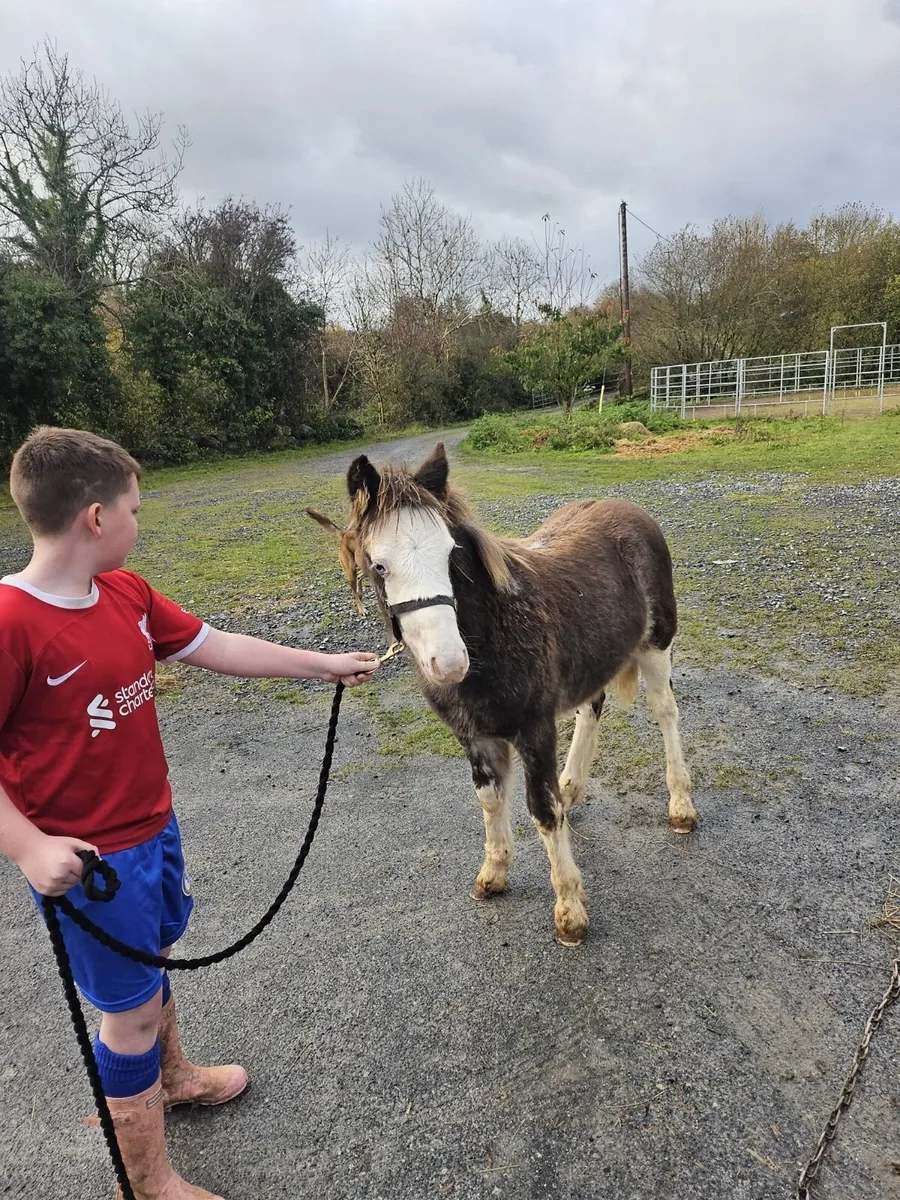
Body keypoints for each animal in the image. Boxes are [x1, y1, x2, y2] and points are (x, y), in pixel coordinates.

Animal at [310, 442, 697, 945]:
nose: (449, 663)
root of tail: (628, 509)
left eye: (450, 553)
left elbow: (543, 811)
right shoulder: (475, 736)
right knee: (592, 707)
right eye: (379, 565)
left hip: (656, 646)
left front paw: (570, 911)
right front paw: (493, 875)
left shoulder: (534, 729)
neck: (494, 634)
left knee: (666, 711)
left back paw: (681, 806)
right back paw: (573, 787)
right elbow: (491, 800)